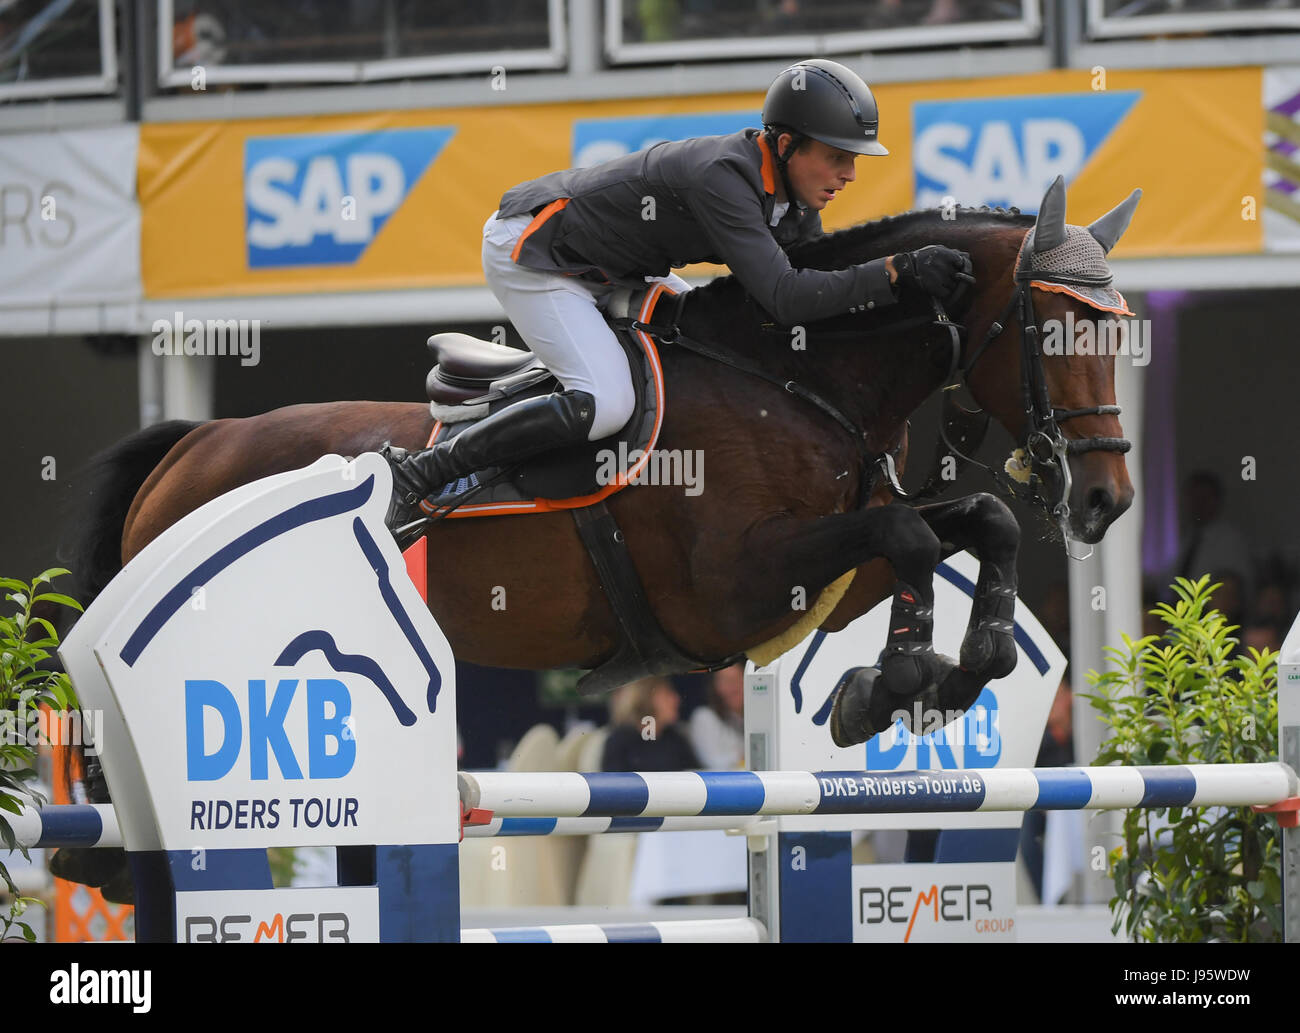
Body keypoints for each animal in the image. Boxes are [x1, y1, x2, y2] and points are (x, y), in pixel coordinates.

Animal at [58, 171, 1138, 899]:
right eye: (1052, 331)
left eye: (1121, 332)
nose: (1105, 500)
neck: (796, 376)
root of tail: (194, 441)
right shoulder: (732, 586)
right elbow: (914, 536)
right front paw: (889, 686)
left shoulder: (829, 576)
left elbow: (972, 523)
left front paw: (956, 670)